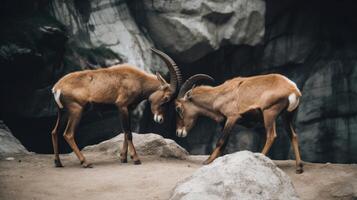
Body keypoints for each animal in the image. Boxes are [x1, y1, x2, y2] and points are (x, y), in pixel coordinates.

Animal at [50, 48, 181, 167]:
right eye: (166, 98)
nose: (160, 119)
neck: (138, 79)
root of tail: (57, 87)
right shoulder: (122, 106)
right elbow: (128, 133)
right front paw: (136, 159)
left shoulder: (127, 109)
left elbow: (125, 131)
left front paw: (123, 158)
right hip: (76, 111)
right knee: (68, 134)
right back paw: (86, 162)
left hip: (63, 112)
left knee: (55, 132)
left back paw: (58, 163)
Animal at [174, 73, 302, 173]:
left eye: (178, 108)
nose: (179, 132)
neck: (219, 95)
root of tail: (293, 89)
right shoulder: (224, 121)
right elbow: (223, 143)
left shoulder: (232, 118)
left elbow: (220, 141)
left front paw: (207, 161)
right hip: (287, 116)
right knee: (293, 135)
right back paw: (299, 167)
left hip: (269, 114)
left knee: (271, 136)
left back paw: (260, 157)